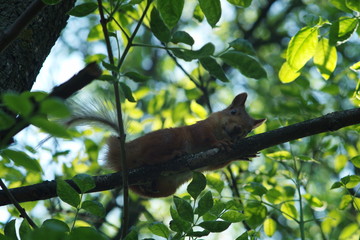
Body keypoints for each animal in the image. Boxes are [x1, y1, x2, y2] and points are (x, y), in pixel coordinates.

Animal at [105, 93, 266, 198]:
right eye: (233, 111)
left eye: (247, 130)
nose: (238, 130)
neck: (221, 133)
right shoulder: (201, 129)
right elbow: (206, 138)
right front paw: (219, 142)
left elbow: (218, 164)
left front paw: (244, 155)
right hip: (167, 139)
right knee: (149, 157)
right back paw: (172, 156)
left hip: (166, 188)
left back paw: (147, 186)